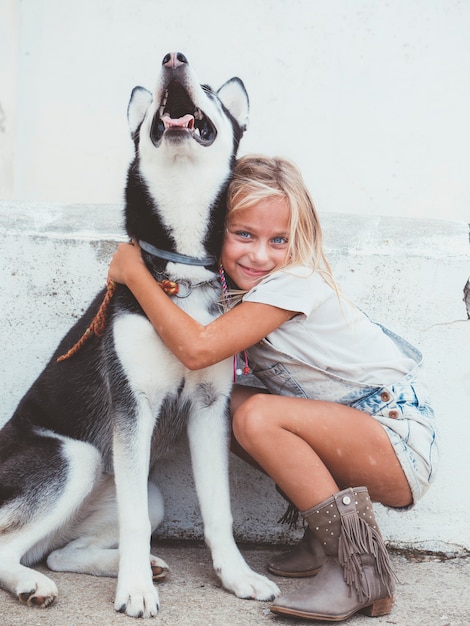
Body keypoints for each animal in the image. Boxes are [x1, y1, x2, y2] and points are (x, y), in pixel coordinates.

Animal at [0, 52, 280, 616]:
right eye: (155, 92)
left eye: (210, 89)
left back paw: (130, 565)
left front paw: (237, 576)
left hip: (147, 493)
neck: (180, 272)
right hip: (79, 457)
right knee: (9, 548)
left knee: (57, 552)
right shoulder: (133, 408)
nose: (173, 58)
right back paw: (33, 584)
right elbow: (132, 524)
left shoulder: (209, 409)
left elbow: (219, 511)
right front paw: (133, 591)